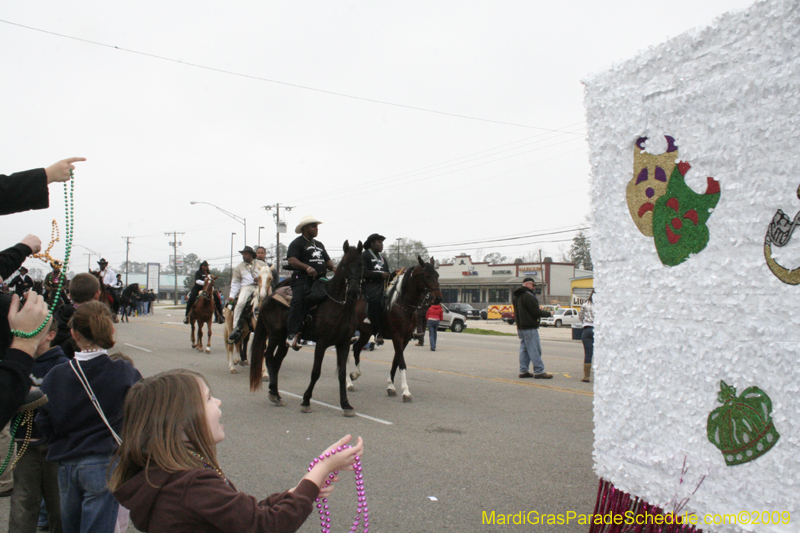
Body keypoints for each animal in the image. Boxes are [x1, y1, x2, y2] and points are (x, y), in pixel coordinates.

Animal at [248, 240, 364, 416]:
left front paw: (346, 405)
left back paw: (275, 394)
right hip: (274, 335)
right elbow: (316, 372)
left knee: (276, 361)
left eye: (360, 264)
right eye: (344, 266)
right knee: (268, 356)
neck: (338, 306)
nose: (353, 291)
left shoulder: (343, 344)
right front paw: (306, 401)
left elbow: (342, 374)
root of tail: (267, 298)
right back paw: (275, 393)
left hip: (283, 341)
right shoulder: (321, 343)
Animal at [346, 256, 440, 402]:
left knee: (356, 349)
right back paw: (348, 382)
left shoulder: (405, 338)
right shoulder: (397, 336)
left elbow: (396, 361)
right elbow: (402, 363)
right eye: (426, 276)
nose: (438, 298)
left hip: (365, 332)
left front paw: (391, 386)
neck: (403, 304)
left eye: (437, 275)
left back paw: (355, 375)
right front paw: (406, 391)